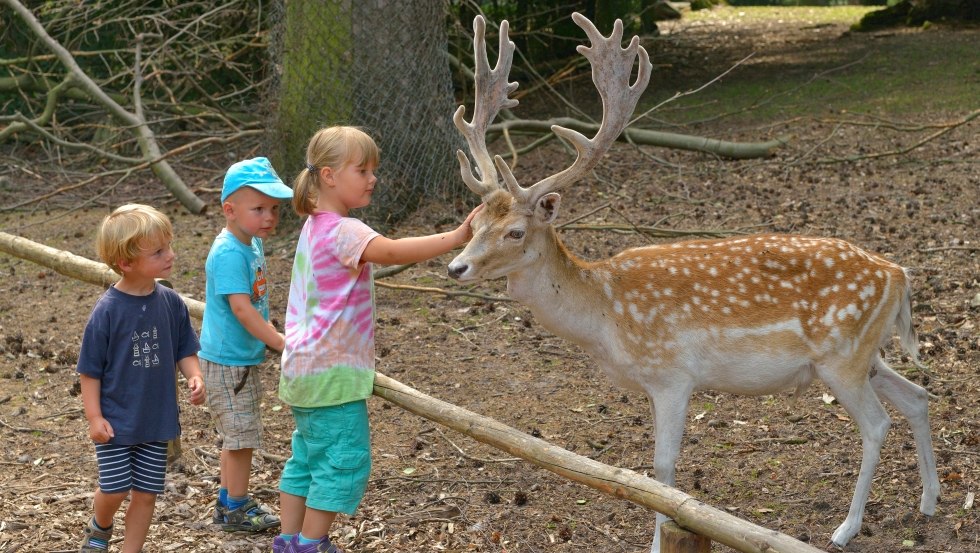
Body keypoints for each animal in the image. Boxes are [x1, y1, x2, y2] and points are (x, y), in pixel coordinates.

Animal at [446, 12, 940, 552]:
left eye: (516, 231)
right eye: (475, 222)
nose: (455, 268)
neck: (606, 314)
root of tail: (898, 275)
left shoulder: (672, 374)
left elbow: (662, 468)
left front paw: (659, 539)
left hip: (842, 356)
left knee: (877, 424)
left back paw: (846, 528)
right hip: (865, 354)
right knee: (918, 396)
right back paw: (929, 501)